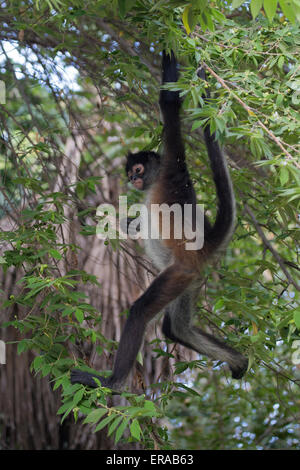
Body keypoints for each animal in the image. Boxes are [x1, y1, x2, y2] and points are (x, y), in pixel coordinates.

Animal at [71, 50, 248, 390]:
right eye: (130, 174)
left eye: (138, 170)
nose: (133, 180)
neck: (154, 180)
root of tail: (203, 249)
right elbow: (132, 224)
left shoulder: (173, 166)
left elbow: (169, 105)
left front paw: (169, 56)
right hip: (190, 278)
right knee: (176, 329)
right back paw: (240, 361)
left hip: (178, 272)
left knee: (141, 312)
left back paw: (112, 382)